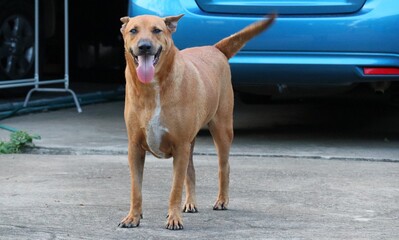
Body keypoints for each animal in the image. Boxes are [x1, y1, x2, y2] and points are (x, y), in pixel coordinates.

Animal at [119, 14, 276, 230]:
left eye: (157, 30)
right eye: (133, 30)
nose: (144, 46)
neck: (153, 87)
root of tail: (215, 48)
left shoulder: (180, 145)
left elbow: (175, 188)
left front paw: (174, 218)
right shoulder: (135, 147)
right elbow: (136, 188)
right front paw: (133, 217)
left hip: (221, 130)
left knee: (224, 167)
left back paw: (222, 200)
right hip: (191, 143)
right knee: (191, 171)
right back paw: (190, 203)